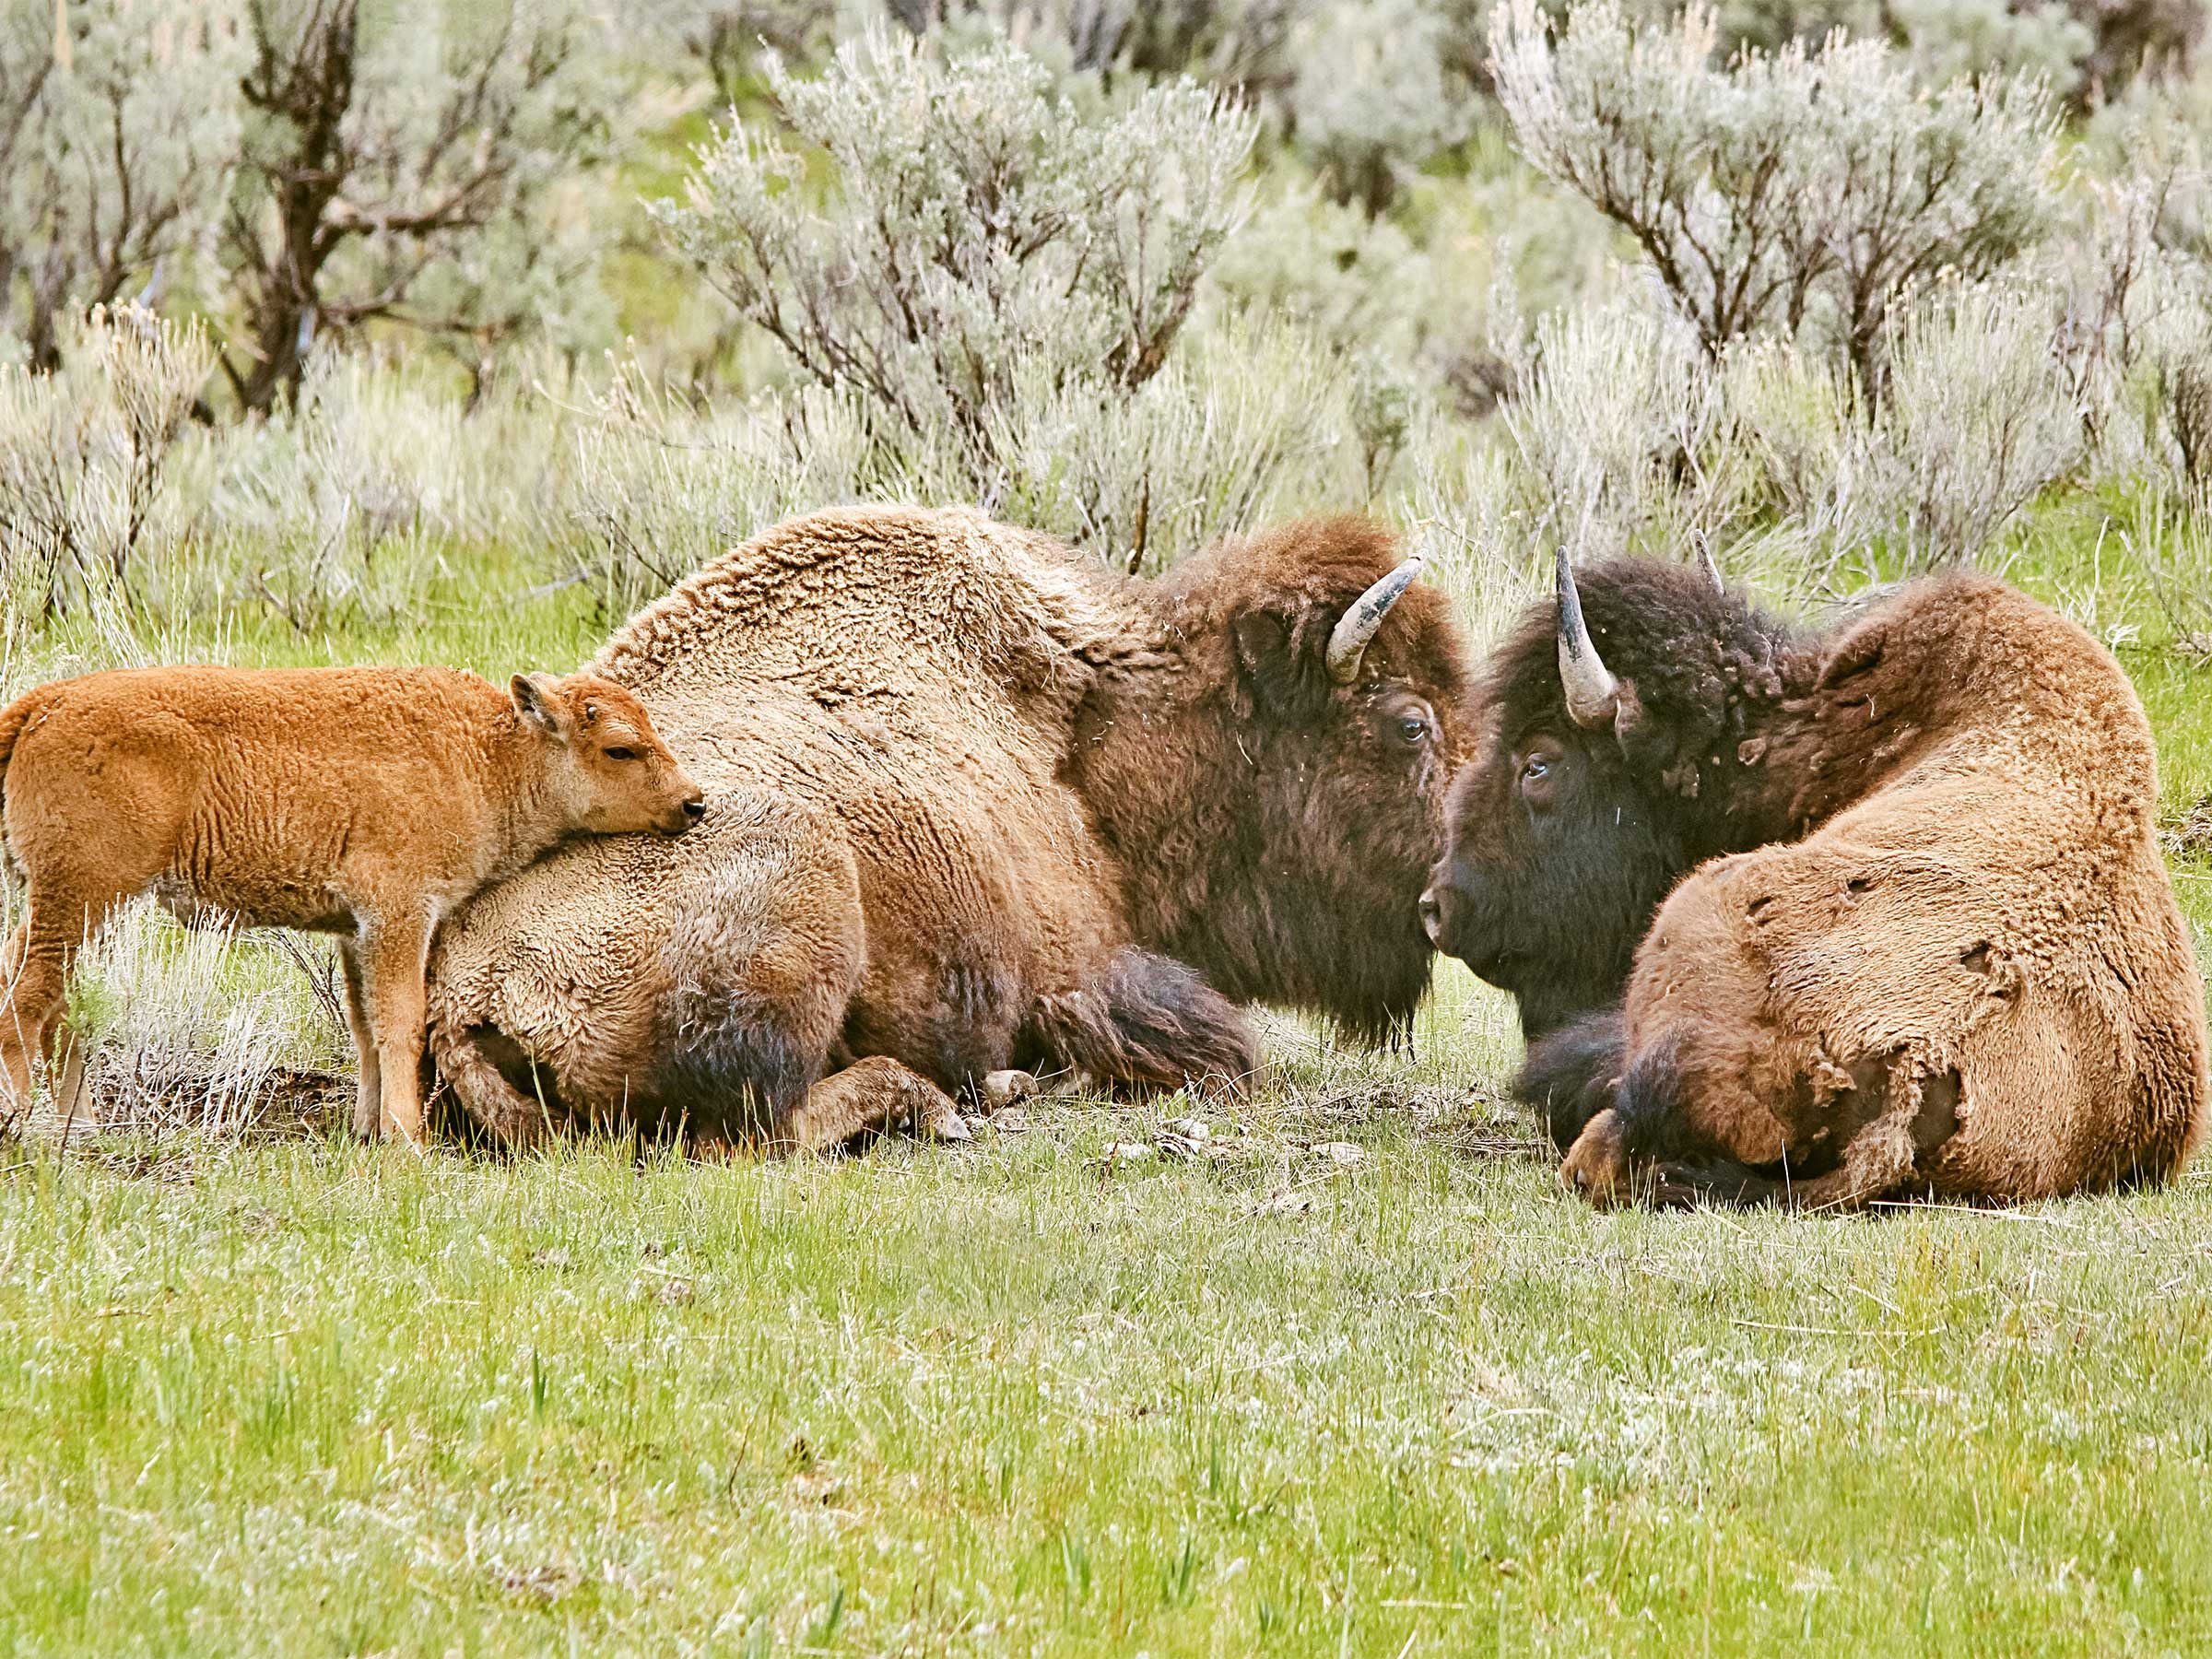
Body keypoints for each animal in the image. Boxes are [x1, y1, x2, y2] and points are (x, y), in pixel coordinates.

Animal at [0, 667, 699, 1150]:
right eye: (619, 748)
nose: (694, 803)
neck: (486, 755)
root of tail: (43, 707)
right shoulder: (400, 914)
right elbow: (402, 1022)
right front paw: (408, 1139)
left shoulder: (353, 929)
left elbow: (364, 1024)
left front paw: (367, 1127)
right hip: (83, 895)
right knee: (27, 1001)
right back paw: (29, 1126)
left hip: (72, 905)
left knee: (54, 1002)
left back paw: (82, 1128)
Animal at [429, 506, 1468, 1159]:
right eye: (1411, 724)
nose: (1453, 898)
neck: (1088, 728)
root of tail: (460, 999)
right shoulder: (1083, 971)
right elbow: (1216, 1048)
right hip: (807, 879)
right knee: (763, 1127)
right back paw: (952, 1101)